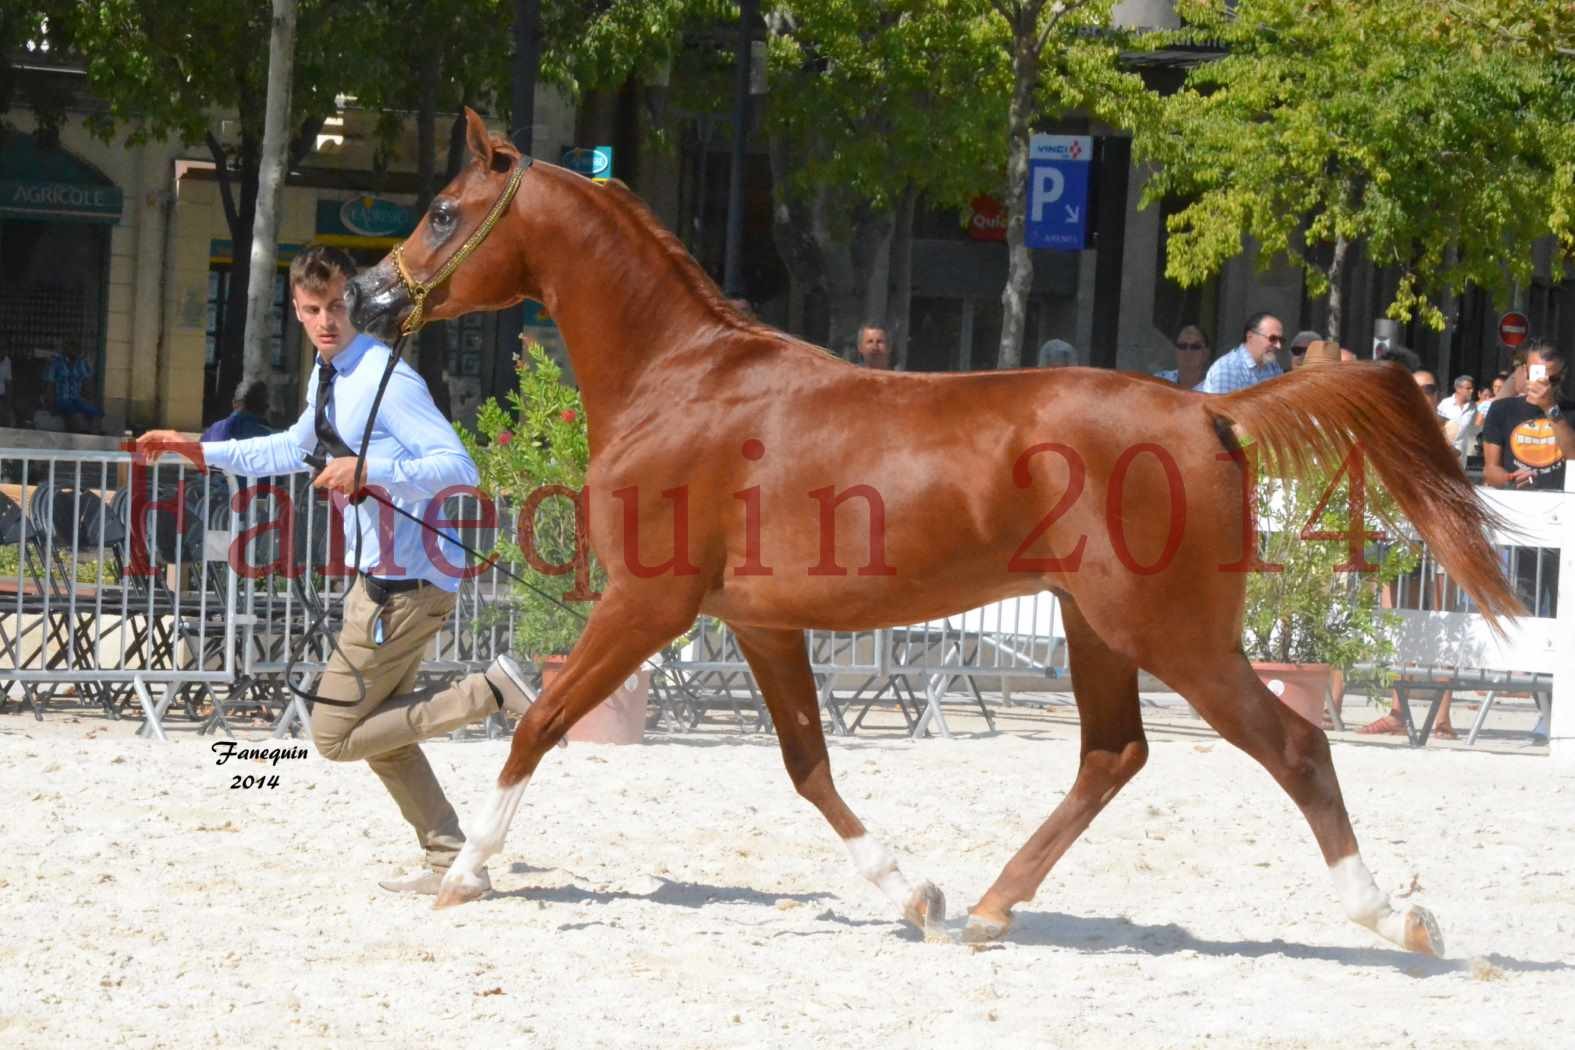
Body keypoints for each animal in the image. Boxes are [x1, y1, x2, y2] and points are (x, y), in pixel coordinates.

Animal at [351, 110, 1518, 957]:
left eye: (447, 212)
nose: (364, 297)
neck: (678, 382)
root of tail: (1208, 411)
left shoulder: (648, 604)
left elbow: (540, 723)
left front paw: (467, 873)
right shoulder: (759, 623)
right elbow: (808, 764)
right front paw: (911, 889)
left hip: (1173, 633)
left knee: (1293, 745)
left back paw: (1393, 917)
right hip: (1095, 626)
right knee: (1113, 753)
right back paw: (993, 908)